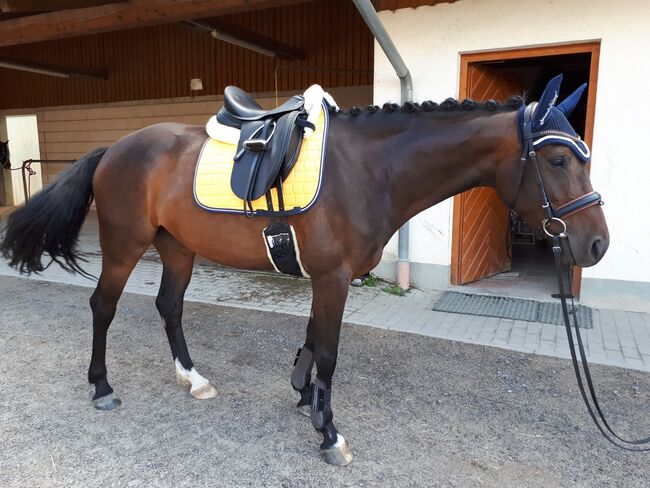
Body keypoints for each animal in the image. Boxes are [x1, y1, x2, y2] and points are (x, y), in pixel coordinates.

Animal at [1, 76, 608, 466]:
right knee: (103, 306)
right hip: (126, 246)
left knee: (168, 307)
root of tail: (114, 148)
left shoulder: (328, 279)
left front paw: (307, 400)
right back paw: (102, 387)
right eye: (557, 160)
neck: (370, 169)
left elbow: (315, 342)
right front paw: (330, 433)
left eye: (584, 156)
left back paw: (193, 378)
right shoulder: (333, 278)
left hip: (177, 249)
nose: (597, 244)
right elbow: (331, 352)